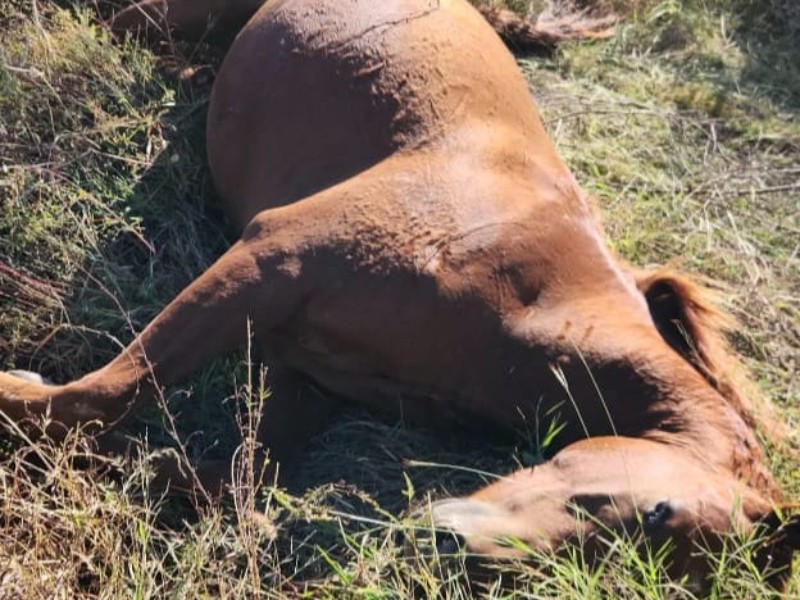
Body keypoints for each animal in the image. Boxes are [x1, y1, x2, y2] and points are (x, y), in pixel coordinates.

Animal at [1, 0, 797, 591]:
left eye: (632, 576)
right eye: (656, 511)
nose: (463, 556)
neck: (527, 299)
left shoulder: (305, 367)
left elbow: (247, 467)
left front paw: (160, 472)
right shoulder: (271, 258)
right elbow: (107, 390)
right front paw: (19, 394)